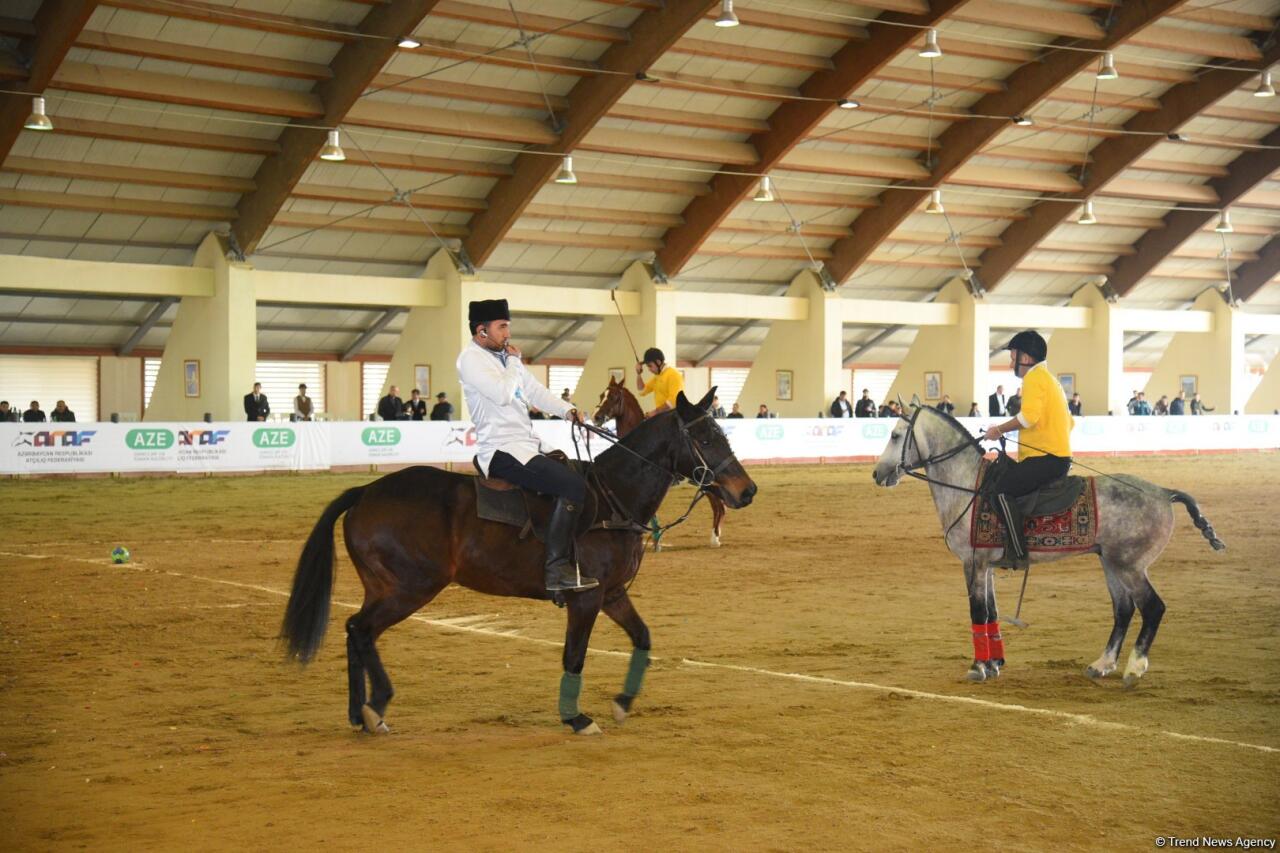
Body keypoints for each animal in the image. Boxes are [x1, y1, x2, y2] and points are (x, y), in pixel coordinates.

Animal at [591, 376, 727, 548]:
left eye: (614, 397)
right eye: (601, 395)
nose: (596, 417)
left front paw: (657, 540)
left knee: (719, 507)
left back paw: (715, 538)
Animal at [875, 399, 1223, 686]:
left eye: (895, 435)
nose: (878, 474)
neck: (967, 484)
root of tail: (1164, 493)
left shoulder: (973, 563)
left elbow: (978, 613)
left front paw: (978, 667)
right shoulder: (986, 565)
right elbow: (992, 612)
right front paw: (995, 662)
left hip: (1130, 566)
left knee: (1152, 608)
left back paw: (1135, 668)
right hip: (1110, 562)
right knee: (1123, 610)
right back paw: (1102, 664)